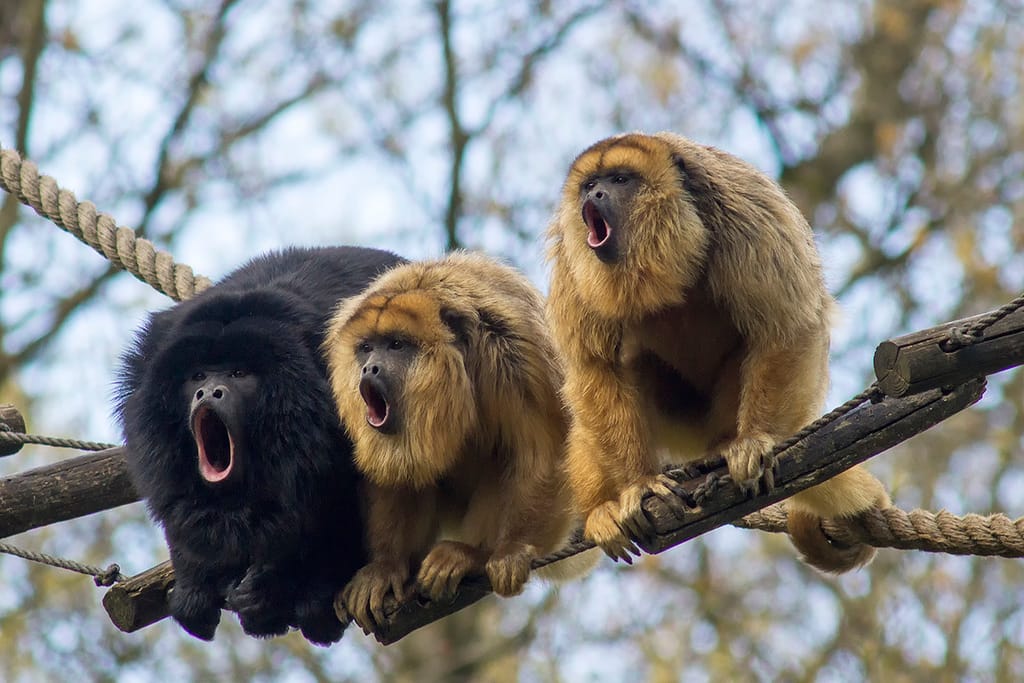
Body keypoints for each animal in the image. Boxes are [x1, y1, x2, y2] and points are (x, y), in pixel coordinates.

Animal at [327, 252, 585, 634]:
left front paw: (510, 549)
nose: (369, 368)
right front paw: (386, 567)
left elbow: (540, 451)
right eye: (366, 348)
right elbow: (393, 477)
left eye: (396, 345)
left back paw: (470, 554)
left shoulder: (514, 351)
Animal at [548, 131, 892, 573]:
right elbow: (595, 367)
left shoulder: (745, 212)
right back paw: (601, 510)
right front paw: (638, 485)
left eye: (621, 180)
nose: (596, 194)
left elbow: (784, 326)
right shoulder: (571, 256)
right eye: (591, 184)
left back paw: (727, 447)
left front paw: (753, 442)